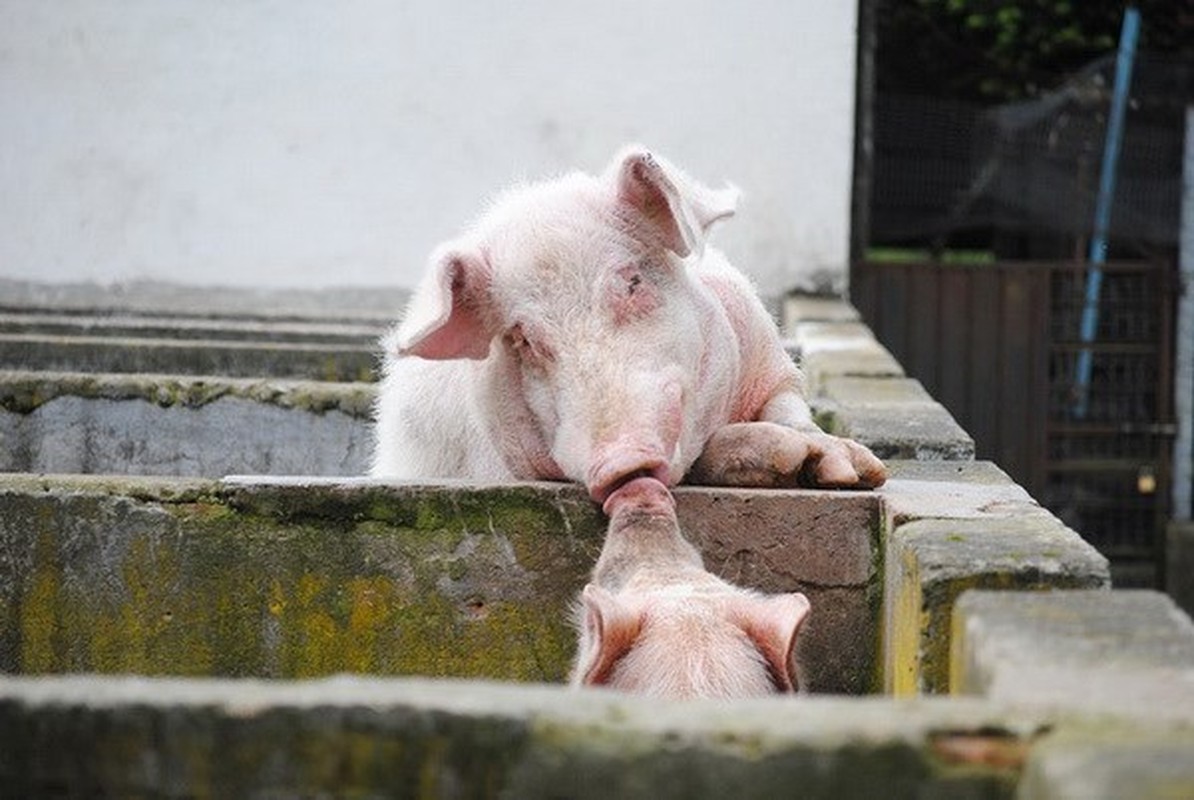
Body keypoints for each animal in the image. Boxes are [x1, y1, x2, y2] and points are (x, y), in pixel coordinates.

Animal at [372, 145, 888, 501]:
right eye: (523, 338)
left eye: (633, 282)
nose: (620, 460)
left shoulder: (771, 364)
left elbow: (790, 408)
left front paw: (845, 471)